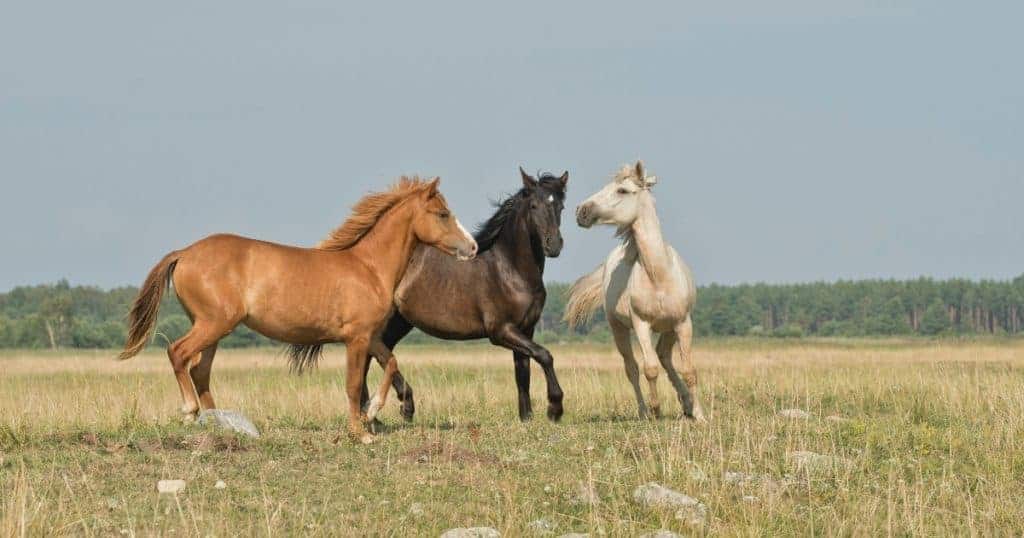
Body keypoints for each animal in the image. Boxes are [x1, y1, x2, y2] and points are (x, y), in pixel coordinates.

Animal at [117, 176, 477, 440]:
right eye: (442, 214)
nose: (472, 247)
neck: (369, 267)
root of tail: (185, 252)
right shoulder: (356, 339)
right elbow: (353, 384)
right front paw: (361, 432)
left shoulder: (370, 337)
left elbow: (391, 364)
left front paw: (374, 411)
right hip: (213, 324)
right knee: (178, 353)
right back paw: (190, 412)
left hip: (213, 329)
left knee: (199, 370)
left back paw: (220, 422)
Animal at [360, 167, 569, 420]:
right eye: (534, 206)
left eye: (560, 206)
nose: (553, 245)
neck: (510, 270)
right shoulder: (501, 331)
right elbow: (544, 355)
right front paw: (555, 408)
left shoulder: (526, 328)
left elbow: (523, 372)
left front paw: (527, 417)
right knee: (373, 352)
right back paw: (398, 406)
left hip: (399, 322)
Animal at [569, 161, 704, 422]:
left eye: (622, 190)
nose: (581, 211)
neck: (659, 276)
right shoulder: (641, 323)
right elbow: (649, 369)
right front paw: (656, 411)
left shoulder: (683, 323)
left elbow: (689, 370)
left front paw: (700, 415)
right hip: (619, 328)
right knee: (632, 368)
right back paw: (644, 411)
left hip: (669, 328)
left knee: (664, 356)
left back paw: (685, 404)